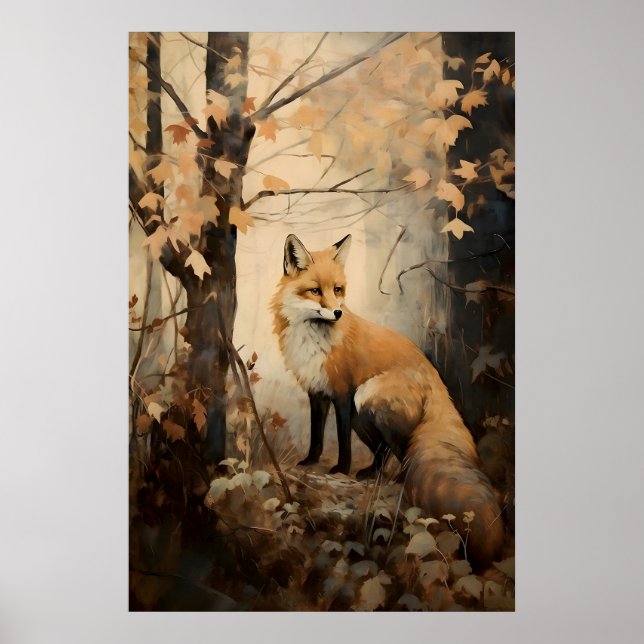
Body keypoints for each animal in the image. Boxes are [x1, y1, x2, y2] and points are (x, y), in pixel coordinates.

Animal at [271, 233, 504, 567]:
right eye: (315, 291)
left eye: (338, 290)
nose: (337, 312)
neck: (314, 339)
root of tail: (437, 382)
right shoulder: (317, 392)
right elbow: (317, 435)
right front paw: (310, 462)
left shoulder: (343, 393)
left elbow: (342, 442)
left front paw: (340, 469)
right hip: (362, 414)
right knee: (382, 451)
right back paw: (371, 474)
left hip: (366, 395)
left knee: (402, 451)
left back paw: (398, 482)